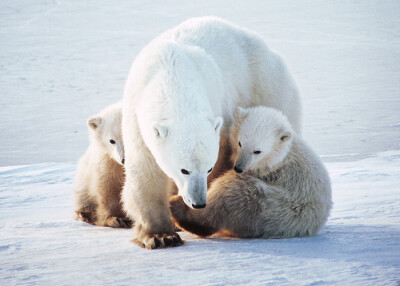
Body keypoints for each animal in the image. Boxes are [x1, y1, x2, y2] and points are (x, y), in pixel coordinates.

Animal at [72, 101, 132, 229]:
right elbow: (107, 187)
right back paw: (85, 215)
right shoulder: (108, 162)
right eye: (111, 140)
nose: (124, 160)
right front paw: (116, 219)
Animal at [123, 16, 302, 248]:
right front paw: (160, 235)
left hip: (267, 87)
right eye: (184, 170)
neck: (171, 72)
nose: (199, 202)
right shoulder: (136, 113)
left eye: (207, 169)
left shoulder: (220, 113)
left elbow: (223, 157)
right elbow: (145, 169)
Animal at [170, 106, 332, 238]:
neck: (283, 155)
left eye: (257, 151)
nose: (238, 168)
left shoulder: (270, 171)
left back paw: (177, 206)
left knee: (231, 193)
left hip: (273, 205)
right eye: (240, 143)